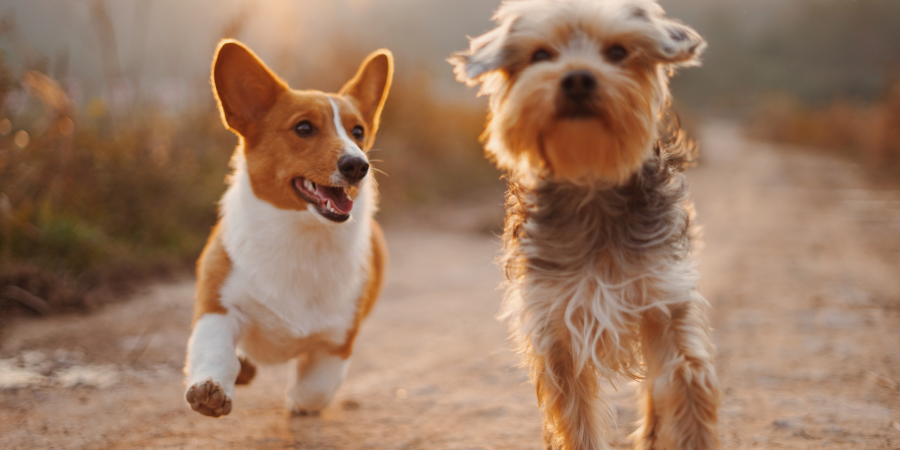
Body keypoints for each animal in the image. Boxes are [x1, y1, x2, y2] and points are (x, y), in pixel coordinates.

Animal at [185, 39, 392, 418]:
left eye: (358, 132)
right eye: (304, 128)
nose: (358, 165)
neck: (301, 234)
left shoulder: (338, 342)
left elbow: (314, 389)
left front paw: (297, 402)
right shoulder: (218, 306)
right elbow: (214, 350)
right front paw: (211, 388)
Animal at [454, 0, 720, 450]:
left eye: (617, 52)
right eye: (541, 55)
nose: (577, 77)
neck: (591, 183)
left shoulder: (664, 299)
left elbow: (687, 382)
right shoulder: (556, 327)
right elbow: (576, 418)